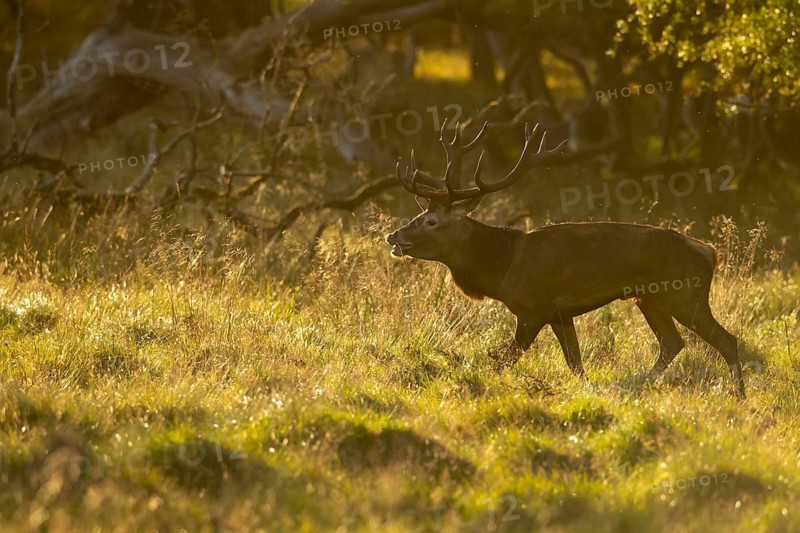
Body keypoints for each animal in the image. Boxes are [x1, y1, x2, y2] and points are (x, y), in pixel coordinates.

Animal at [385, 119, 746, 398]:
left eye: (432, 222)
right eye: (420, 215)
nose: (394, 237)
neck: (502, 268)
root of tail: (709, 252)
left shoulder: (533, 309)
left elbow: (504, 360)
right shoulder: (560, 314)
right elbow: (576, 364)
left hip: (685, 294)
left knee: (727, 341)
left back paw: (738, 396)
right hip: (650, 298)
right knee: (672, 343)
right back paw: (637, 383)